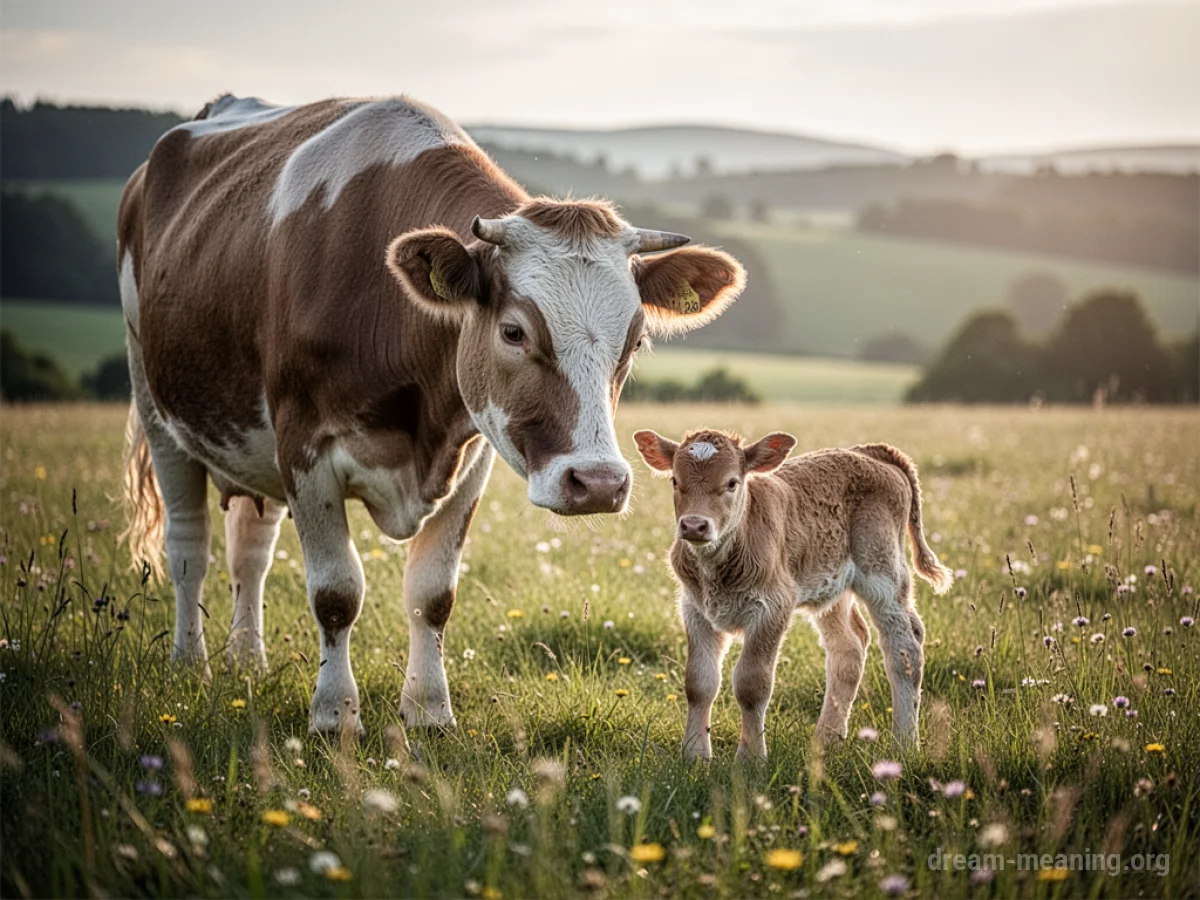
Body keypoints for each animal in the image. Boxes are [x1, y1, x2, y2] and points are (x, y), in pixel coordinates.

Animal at [118, 94, 746, 733]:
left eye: (636, 342)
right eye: (513, 332)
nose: (597, 484)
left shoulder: (473, 455)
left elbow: (432, 594)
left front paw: (428, 711)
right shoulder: (303, 445)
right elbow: (335, 593)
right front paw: (334, 716)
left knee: (250, 552)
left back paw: (247, 660)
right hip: (155, 403)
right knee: (189, 548)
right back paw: (191, 665)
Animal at [632, 428, 953, 759]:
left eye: (732, 482)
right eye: (675, 480)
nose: (694, 525)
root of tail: (868, 451)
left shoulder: (772, 607)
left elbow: (752, 684)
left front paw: (750, 758)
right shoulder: (695, 610)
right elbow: (699, 683)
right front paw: (695, 755)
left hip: (884, 573)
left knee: (905, 648)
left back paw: (904, 744)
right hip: (832, 585)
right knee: (849, 646)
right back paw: (828, 738)